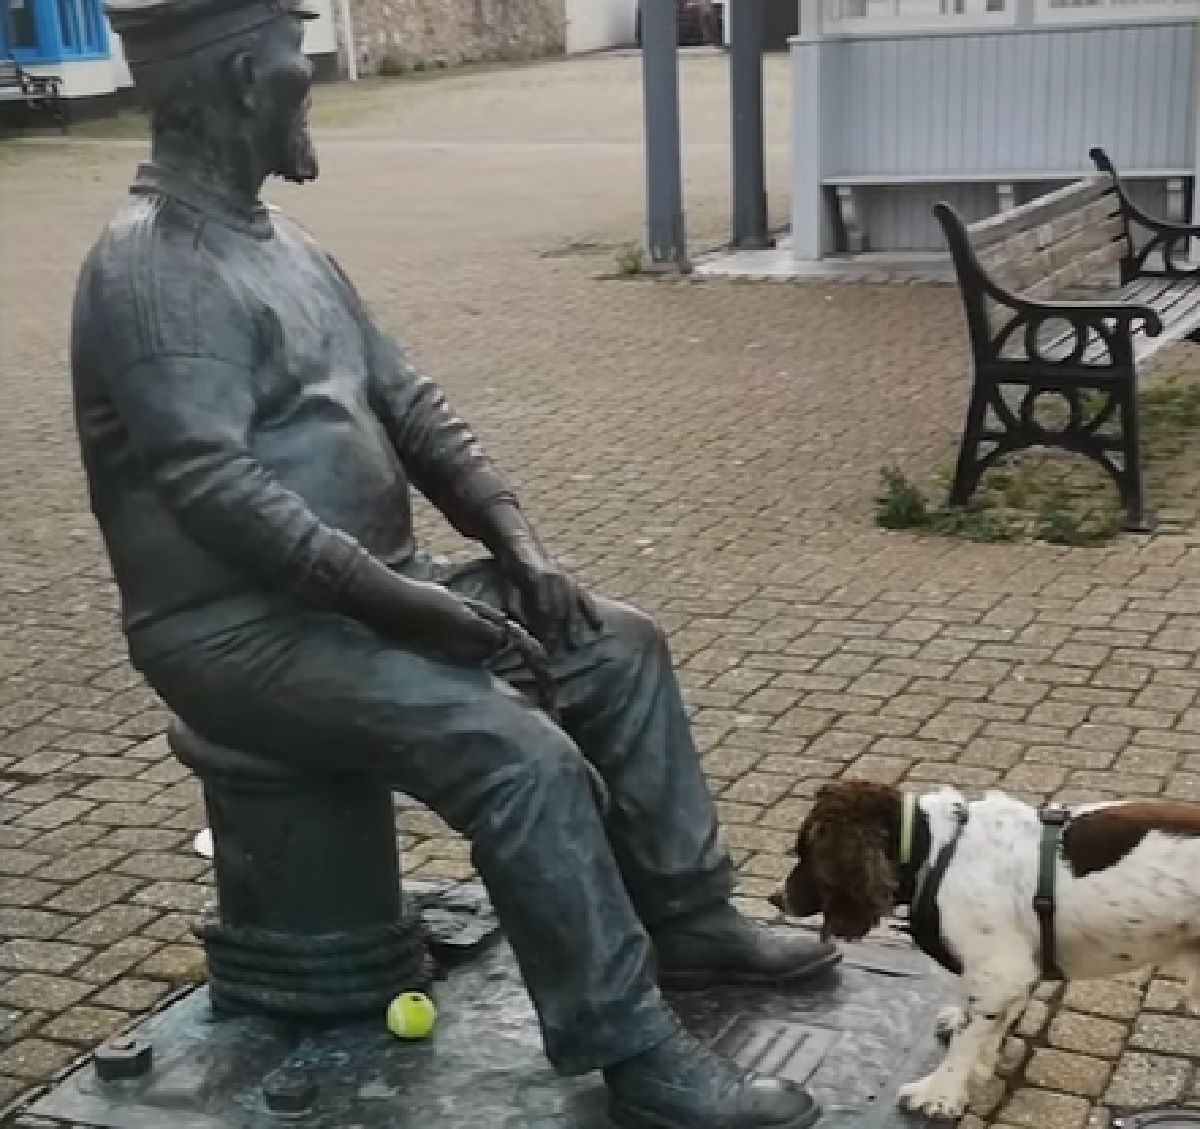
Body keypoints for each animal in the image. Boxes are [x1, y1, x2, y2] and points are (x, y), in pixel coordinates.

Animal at [772, 782, 1200, 1118]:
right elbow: (984, 1021)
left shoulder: (999, 969)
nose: (776, 898)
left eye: (806, 851)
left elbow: (966, 1038)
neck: (933, 849)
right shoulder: (1009, 967)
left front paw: (937, 1095)